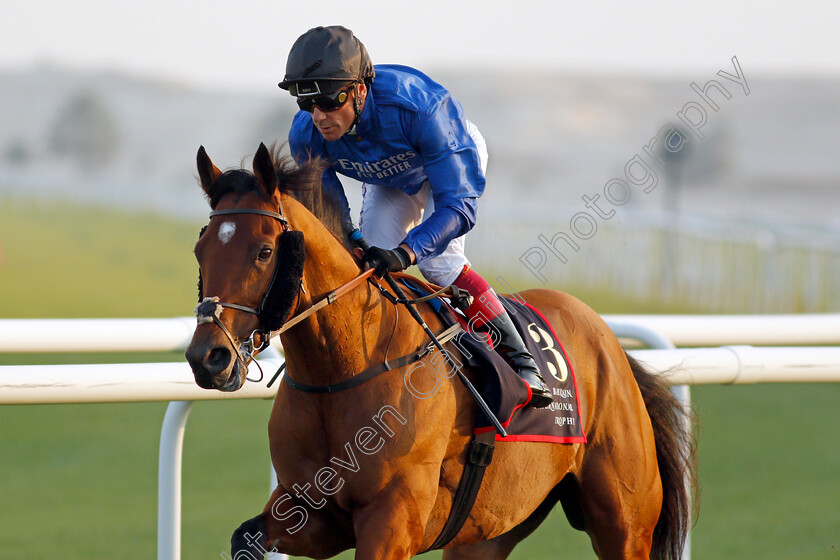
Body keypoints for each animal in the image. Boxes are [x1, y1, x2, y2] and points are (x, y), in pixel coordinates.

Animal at [184, 142, 696, 556]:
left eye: (264, 251)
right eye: (200, 249)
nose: (207, 358)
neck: (340, 373)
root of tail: (611, 344)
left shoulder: (393, 519)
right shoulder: (310, 510)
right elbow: (247, 537)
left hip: (624, 523)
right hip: (486, 532)